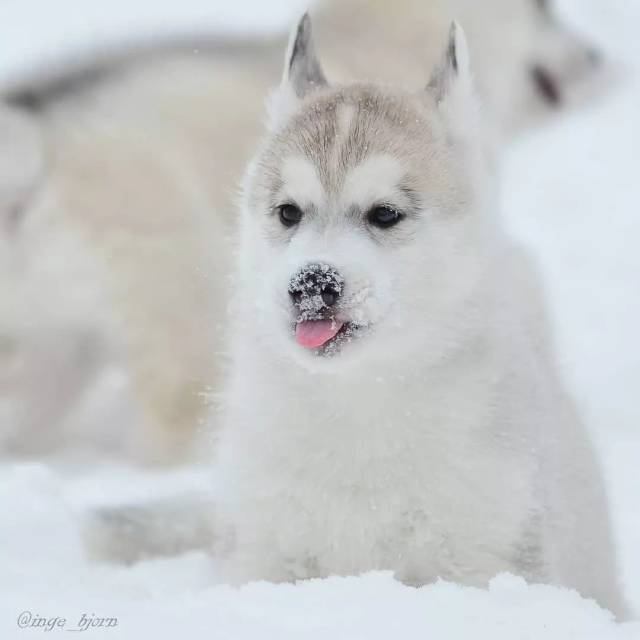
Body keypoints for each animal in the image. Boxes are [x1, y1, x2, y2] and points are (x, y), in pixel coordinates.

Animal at [210, 13, 624, 616]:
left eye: (385, 214)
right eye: (288, 212)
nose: (312, 284)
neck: (362, 398)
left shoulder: (480, 555)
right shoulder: (265, 552)